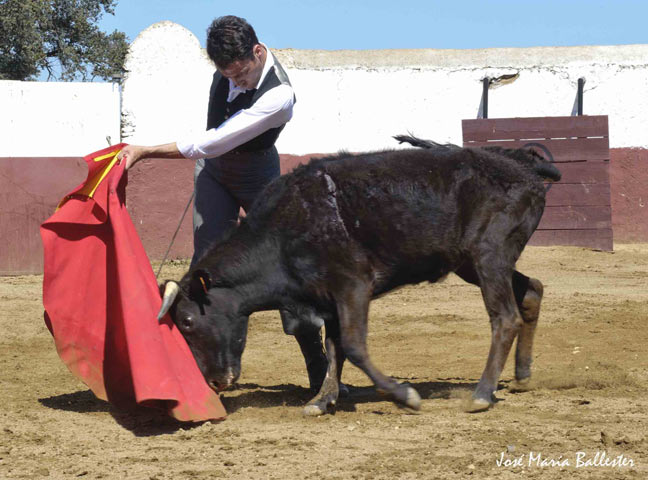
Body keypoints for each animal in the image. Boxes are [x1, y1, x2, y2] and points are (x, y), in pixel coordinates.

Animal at [158, 137, 560, 414]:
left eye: (188, 321)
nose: (215, 381)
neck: (283, 232)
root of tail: (522, 166)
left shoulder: (352, 287)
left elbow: (352, 345)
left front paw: (404, 395)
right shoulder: (330, 299)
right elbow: (335, 347)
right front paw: (323, 400)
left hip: (489, 256)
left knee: (504, 317)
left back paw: (481, 394)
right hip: (473, 263)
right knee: (531, 291)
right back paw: (521, 377)